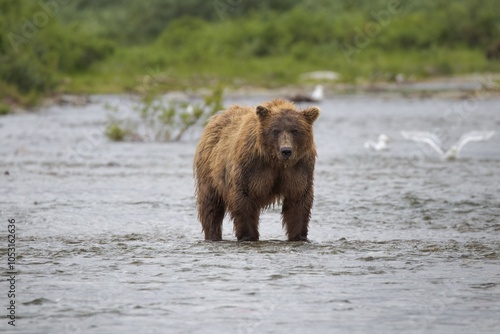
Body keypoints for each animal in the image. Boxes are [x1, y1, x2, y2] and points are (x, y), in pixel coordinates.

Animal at [193, 98, 318, 241]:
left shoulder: (299, 168)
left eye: (295, 130)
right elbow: (244, 200)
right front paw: (248, 236)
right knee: (210, 207)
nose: (286, 150)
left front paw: (299, 236)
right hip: (209, 172)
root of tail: (216, 117)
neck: (276, 161)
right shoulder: (251, 167)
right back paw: (213, 235)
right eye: (275, 130)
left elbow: (299, 201)